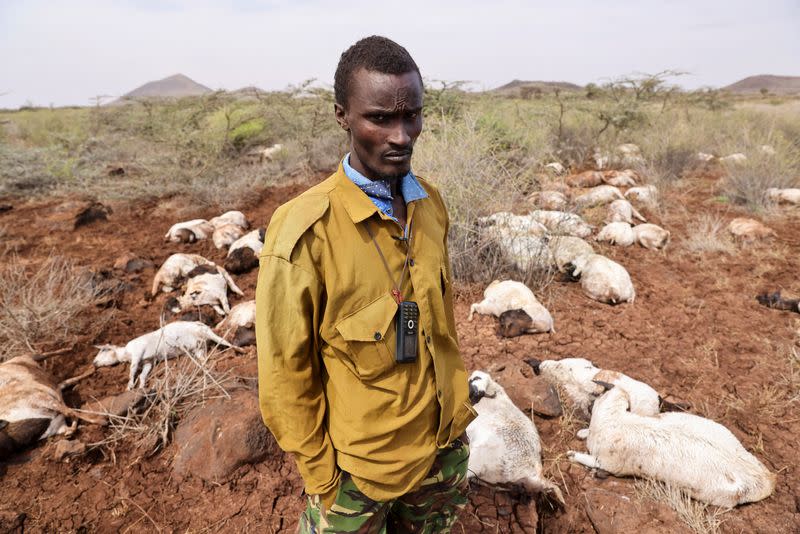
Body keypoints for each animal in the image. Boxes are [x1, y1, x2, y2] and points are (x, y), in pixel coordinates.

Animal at [94, 320, 238, 392]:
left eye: (103, 350)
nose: (94, 363)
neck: (125, 352)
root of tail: (202, 325)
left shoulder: (137, 353)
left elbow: (132, 371)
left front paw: (129, 386)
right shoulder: (148, 362)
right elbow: (143, 374)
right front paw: (141, 386)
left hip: (203, 335)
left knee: (224, 341)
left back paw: (238, 350)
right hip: (198, 347)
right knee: (205, 357)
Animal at [568, 386, 776, 510]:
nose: (588, 404)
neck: (613, 418)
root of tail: (764, 478)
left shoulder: (608, 462)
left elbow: (589, 459)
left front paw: (572, 454)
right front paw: (582, 432)